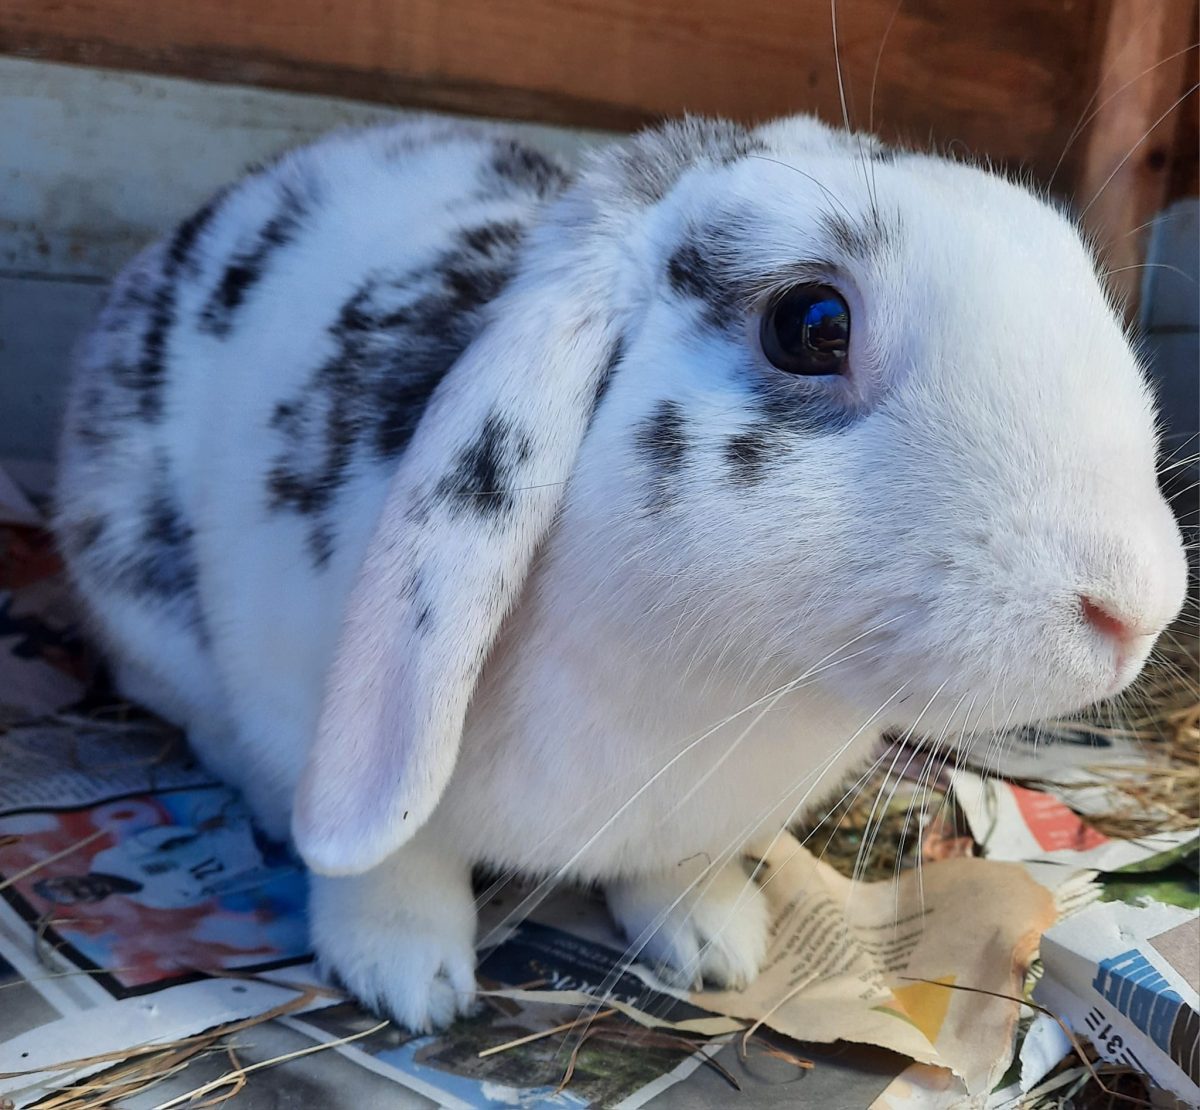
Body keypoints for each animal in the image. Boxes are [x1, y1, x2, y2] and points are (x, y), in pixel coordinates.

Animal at [54, 113, 1188, 1031]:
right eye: (812, 324)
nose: (1138, 605)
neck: (715, 686)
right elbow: (391, 856)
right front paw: (405, 975)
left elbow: (676, 873)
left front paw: (718, 945)